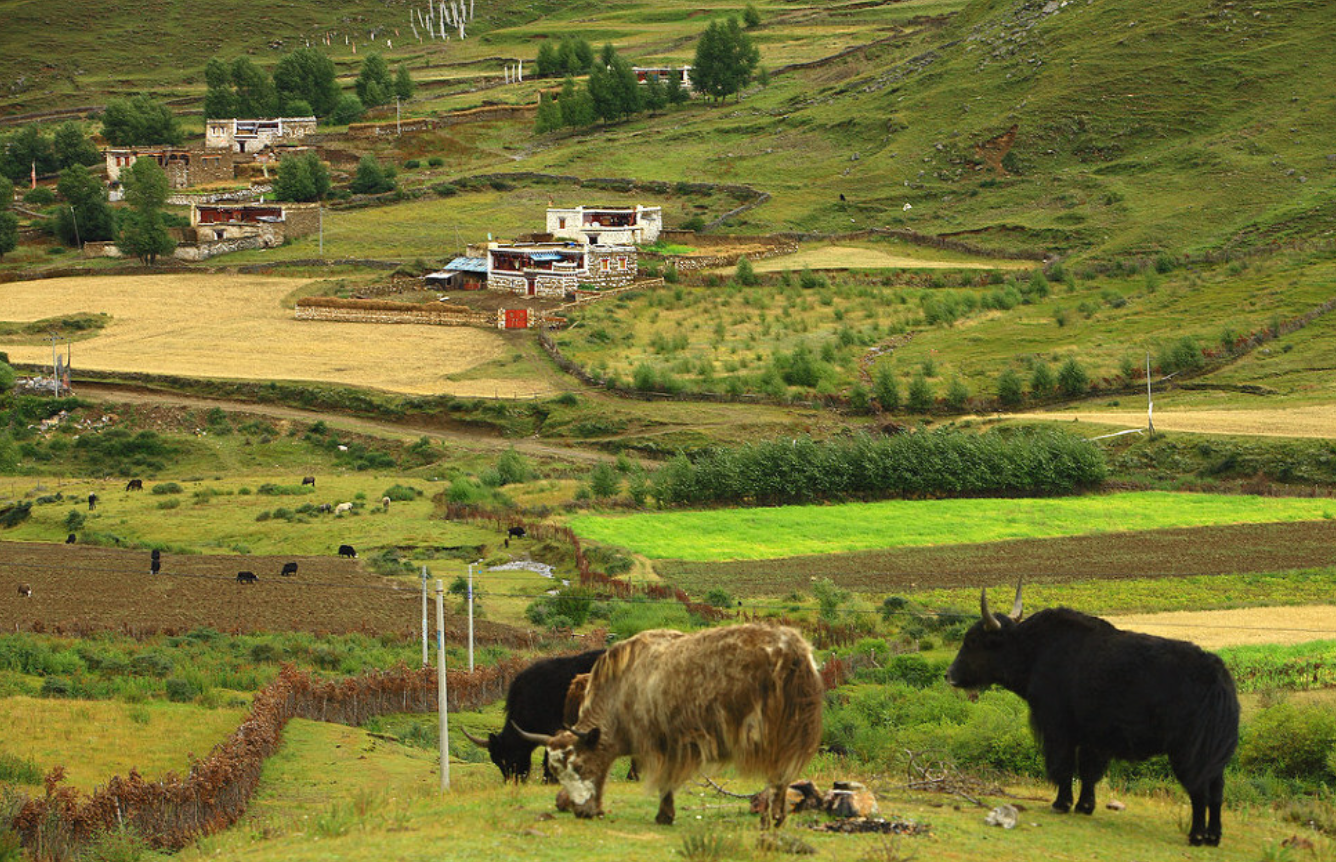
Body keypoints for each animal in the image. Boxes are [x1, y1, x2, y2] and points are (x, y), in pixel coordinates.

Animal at [521, 625, 822, 828]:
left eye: (581, 766)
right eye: (557, 772)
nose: (583, 812)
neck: (623, 691)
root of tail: (796, 650)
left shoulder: (663, 743)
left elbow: (665, 781)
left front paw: (663, 816)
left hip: (777, 731)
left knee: (778, 774)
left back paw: (771, 817)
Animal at [940, 582, 1239, 844]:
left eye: (973, 640)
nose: (949, 675)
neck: (1033, 651)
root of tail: (1218, 677)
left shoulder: (1057, 727)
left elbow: (1064, 765)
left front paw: (1061, 804)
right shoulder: (1093, 737)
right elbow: (1088, 770)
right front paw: (1085, 806)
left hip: (1189, 750)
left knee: (1199, 790)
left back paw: (1196, 836)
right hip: (1212, 754)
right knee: (1217, 790)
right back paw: (1214, 836)